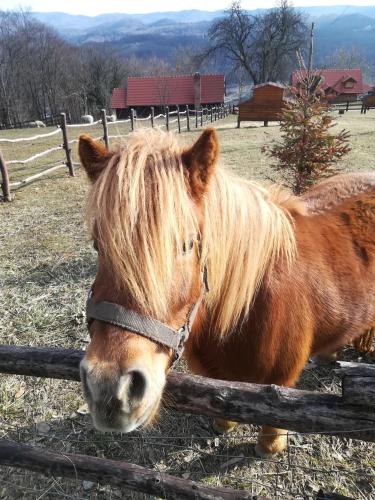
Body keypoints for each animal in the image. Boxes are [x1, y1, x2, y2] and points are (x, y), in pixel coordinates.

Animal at [78, 129, 374, 458]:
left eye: (187, 244)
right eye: (97, 245)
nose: (109, 389)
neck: (252, 304)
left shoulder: (283, 375)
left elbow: (276, 414)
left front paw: (269, 446)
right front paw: (224, 424)